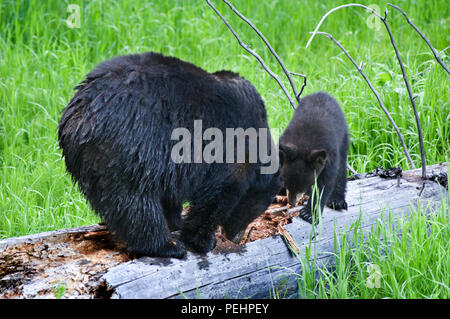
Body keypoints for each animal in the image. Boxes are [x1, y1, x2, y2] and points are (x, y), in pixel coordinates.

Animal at [58, 51, 280, 258]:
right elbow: (216, 196)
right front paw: (204, 240)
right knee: (135, 202)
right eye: (259, 206)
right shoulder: (230, 147)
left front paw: (176, 221)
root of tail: (80, 115)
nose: (236, 237)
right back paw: (165, 246)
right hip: (129, 148)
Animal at [280, 91, 350, 224]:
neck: (305, 144)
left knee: (342, 167)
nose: (292, 203)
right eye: (287, 183)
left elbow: (324, 185)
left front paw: (308, 214)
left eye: (301, 187)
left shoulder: (329, 155)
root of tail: (322, 93)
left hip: (344, 136)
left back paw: (337, 201)